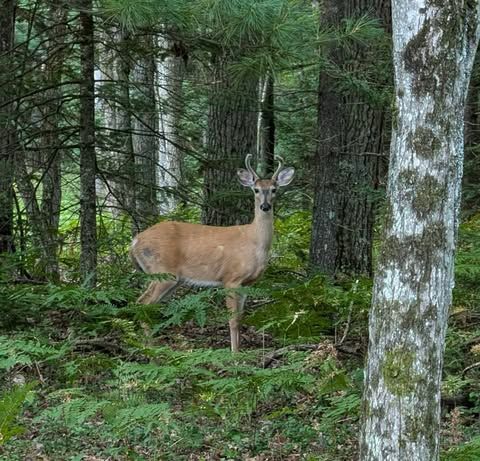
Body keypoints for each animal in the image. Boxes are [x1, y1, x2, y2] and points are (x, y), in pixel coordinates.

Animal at [131, 155, 294, 352]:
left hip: (171, 280)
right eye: (256, 190)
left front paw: (240, 350)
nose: (265, 206)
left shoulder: (247, 283)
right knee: (142, 303)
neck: (255, 242)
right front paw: (234, 354)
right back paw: (150, 348)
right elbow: (233, 320)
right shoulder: (231, 278)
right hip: (162, 271)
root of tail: (135, 241)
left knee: (148, 305)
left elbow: (240, 318)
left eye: (274, 189)